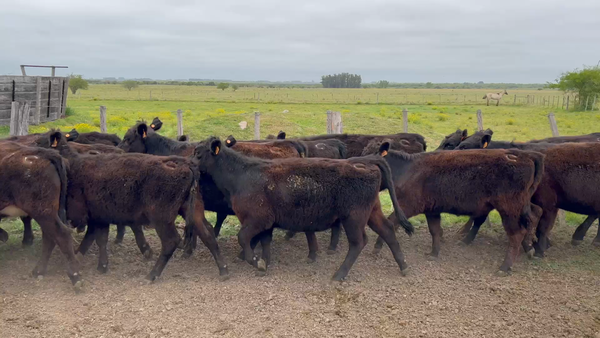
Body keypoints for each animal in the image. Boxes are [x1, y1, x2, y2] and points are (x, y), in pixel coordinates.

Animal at [192, 137, 412, 280]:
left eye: (199, 154)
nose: (189, 165)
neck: (241, 175)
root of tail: (366, 163)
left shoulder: (256, 219)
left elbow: (243, 238)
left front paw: (256, 261)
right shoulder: (266, 222)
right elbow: (265, 242)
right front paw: (264, 263)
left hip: (354, 218)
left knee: (358, 243)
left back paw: (339, 274)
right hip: (372, 212)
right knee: (387, 230)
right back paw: (403, 265)